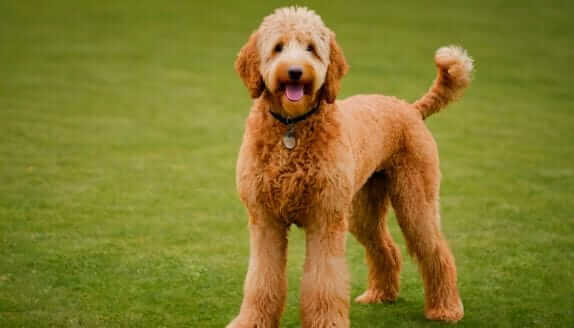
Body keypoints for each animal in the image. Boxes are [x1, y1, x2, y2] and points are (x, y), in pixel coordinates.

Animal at [227, 6, 474, 326]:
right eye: (278, 47)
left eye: (311, 48)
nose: (295, 72)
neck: (291, 130)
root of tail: (410, 108)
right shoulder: (265, 220)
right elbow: (261, 280)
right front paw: (251, 321)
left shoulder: (325, 219)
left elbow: (324, 282)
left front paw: (327, 322)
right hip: (364, 207)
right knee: (385, 247)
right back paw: (380, 294)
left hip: (415, 200)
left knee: (436, 251)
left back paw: (446, 309)